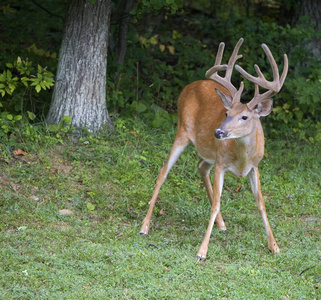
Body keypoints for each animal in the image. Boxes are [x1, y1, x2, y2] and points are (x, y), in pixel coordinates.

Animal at [140, 37, 288, 258]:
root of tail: (189, 86)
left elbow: (261, 204)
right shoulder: (221, 163)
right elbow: (217, 203)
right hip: (182, 130)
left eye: (244, 117)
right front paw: (202, 251)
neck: (241, 160)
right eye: (227, 114)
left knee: (200, 166)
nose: (218, 132)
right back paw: (144, 227)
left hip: (209, 153)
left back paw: (222, 224)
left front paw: (275, 246)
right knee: (163, 171)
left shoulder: (255, 166)